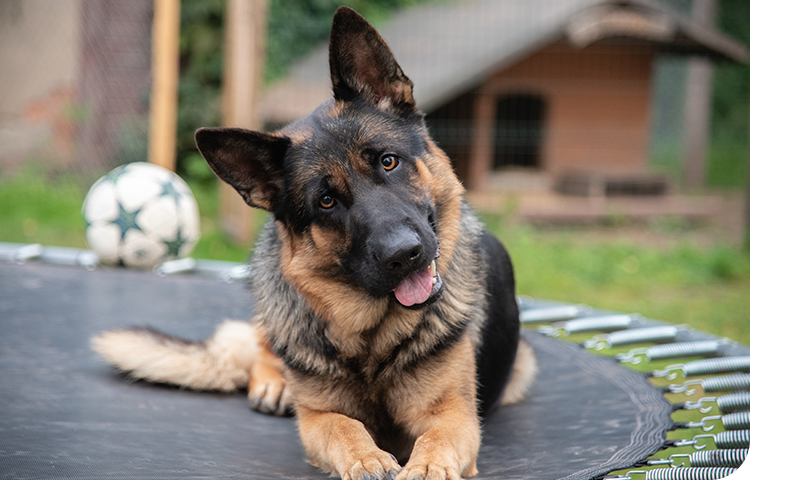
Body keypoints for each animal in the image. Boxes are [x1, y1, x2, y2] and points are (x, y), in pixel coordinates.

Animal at [94, 7, 540, 480]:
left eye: (389, 161)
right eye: (326, 201)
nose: (404, 254)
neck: (373, 338)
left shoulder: (454, 416)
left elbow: (436, 439)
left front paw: (425, 468)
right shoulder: (316, 418)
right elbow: (344, 426)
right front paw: (366, 458)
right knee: (260, 345)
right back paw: (273, 382)